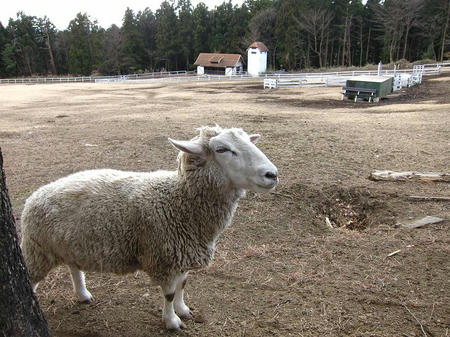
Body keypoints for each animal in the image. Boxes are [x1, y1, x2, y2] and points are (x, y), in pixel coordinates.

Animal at [22, 124, 280, 330]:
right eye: (222, 149)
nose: (272, 174)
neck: (180, 202)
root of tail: (36, 194)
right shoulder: (164, 257)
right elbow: (169, 294)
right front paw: (172, 321)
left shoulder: (182, 253)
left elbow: (183, 285)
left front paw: (184, 310)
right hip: (38, 250)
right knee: (31, 279)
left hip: (69, 245)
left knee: (74, 268)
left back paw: (83, 294)